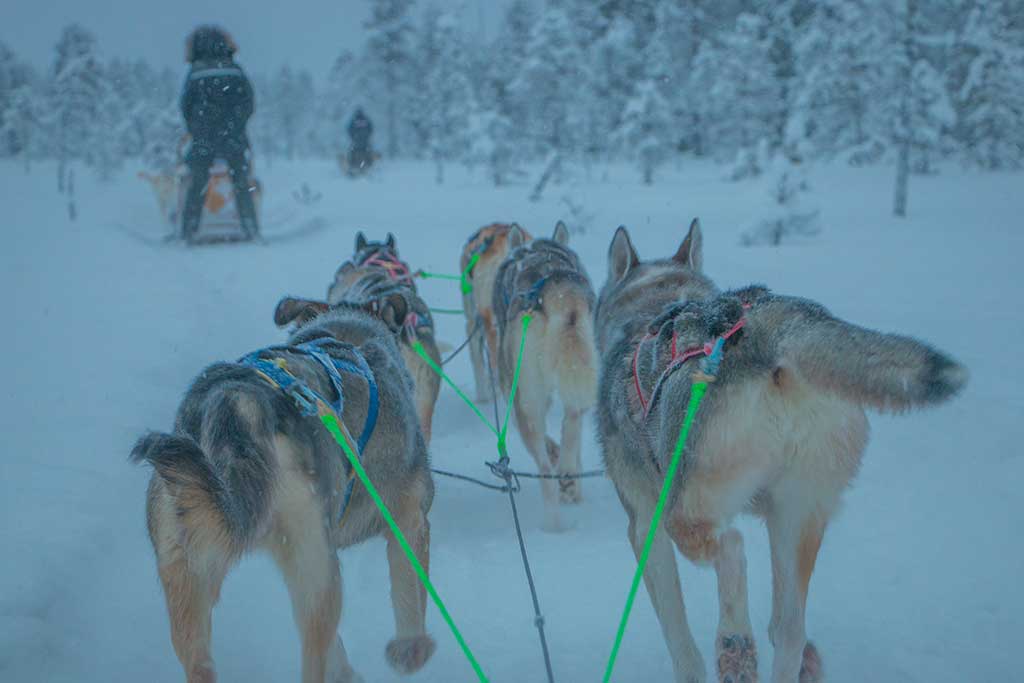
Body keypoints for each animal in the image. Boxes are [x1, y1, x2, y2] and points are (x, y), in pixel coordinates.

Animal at [130, 307, 434, 683]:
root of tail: (234, 401)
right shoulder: (409, 515)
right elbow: (410, 589)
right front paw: (412, 648)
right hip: (317, 568)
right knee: (314, 651)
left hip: (188, 569)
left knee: (200, 662)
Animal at [489, 222, 598, 532]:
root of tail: (554, 286)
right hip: (580, 371)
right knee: (572, 421)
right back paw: (568, 477)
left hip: (526, 401)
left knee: (544, 467)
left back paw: (554, 519)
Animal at [598, 222, 962, 679]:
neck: (659, 304)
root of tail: (771, 323)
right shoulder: (775, 514)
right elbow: (779, 619)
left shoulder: (644, 524)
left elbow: (679, 640)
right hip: (800, 511)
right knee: (790, 630)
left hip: (684, 508)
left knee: (730, 547)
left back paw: (734, 646)